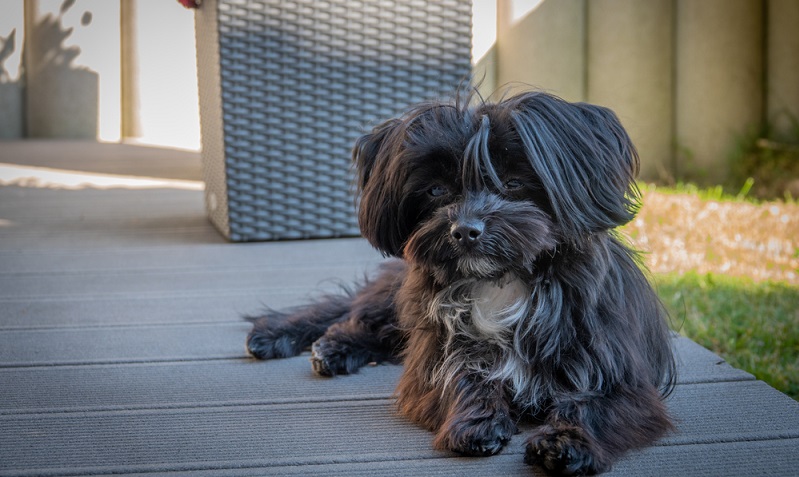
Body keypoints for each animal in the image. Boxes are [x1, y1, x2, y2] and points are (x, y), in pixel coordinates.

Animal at [245, 91, 676, 474]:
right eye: (436, 190)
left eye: (514, 183)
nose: (466, 230)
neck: (504, 281)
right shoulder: (434, 355)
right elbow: (461, 375)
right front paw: (477, 421)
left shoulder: (619, 376)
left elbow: (592, 405)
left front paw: (566, 442)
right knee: (352, 312)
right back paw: (303, 339)